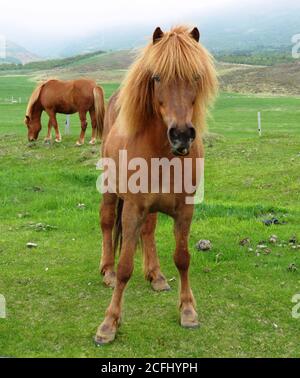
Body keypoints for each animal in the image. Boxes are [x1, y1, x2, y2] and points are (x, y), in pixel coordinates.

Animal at [95, 25, 217, 346]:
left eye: (196, 76)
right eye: (157, 77)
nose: (182, 135)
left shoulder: (184, 209)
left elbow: (183, 258)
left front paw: (187, 310)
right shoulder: (133, 207)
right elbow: (125, 266)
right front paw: (109, 323)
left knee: (147, 233)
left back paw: (156, 275)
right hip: (111, 191)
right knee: (106, 223)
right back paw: (107, 270)